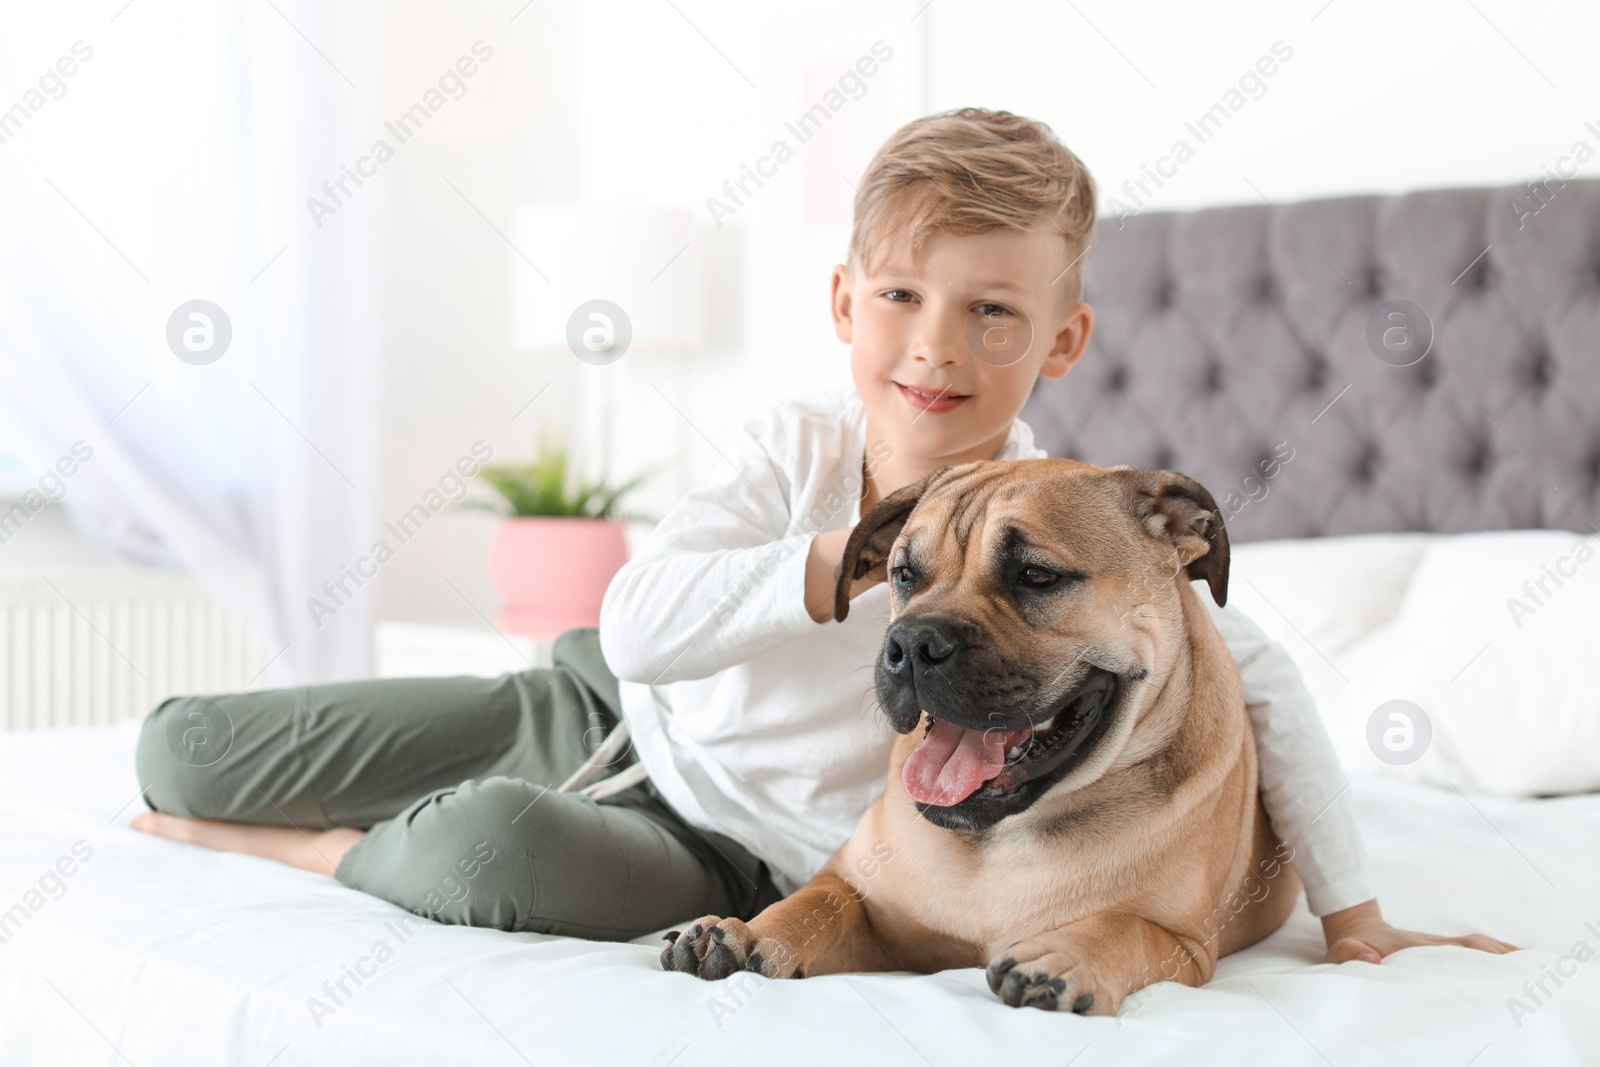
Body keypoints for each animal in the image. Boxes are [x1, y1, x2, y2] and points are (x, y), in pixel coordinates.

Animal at [662, 460, 1299, 1017]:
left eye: (1036, 576)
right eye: (903, 575)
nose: (911, 643)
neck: (999, 838)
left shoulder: (1186, 946)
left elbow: (1127, 927)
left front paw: (1061, 959)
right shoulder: (873, 910)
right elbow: (820, 900)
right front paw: (748, 931)